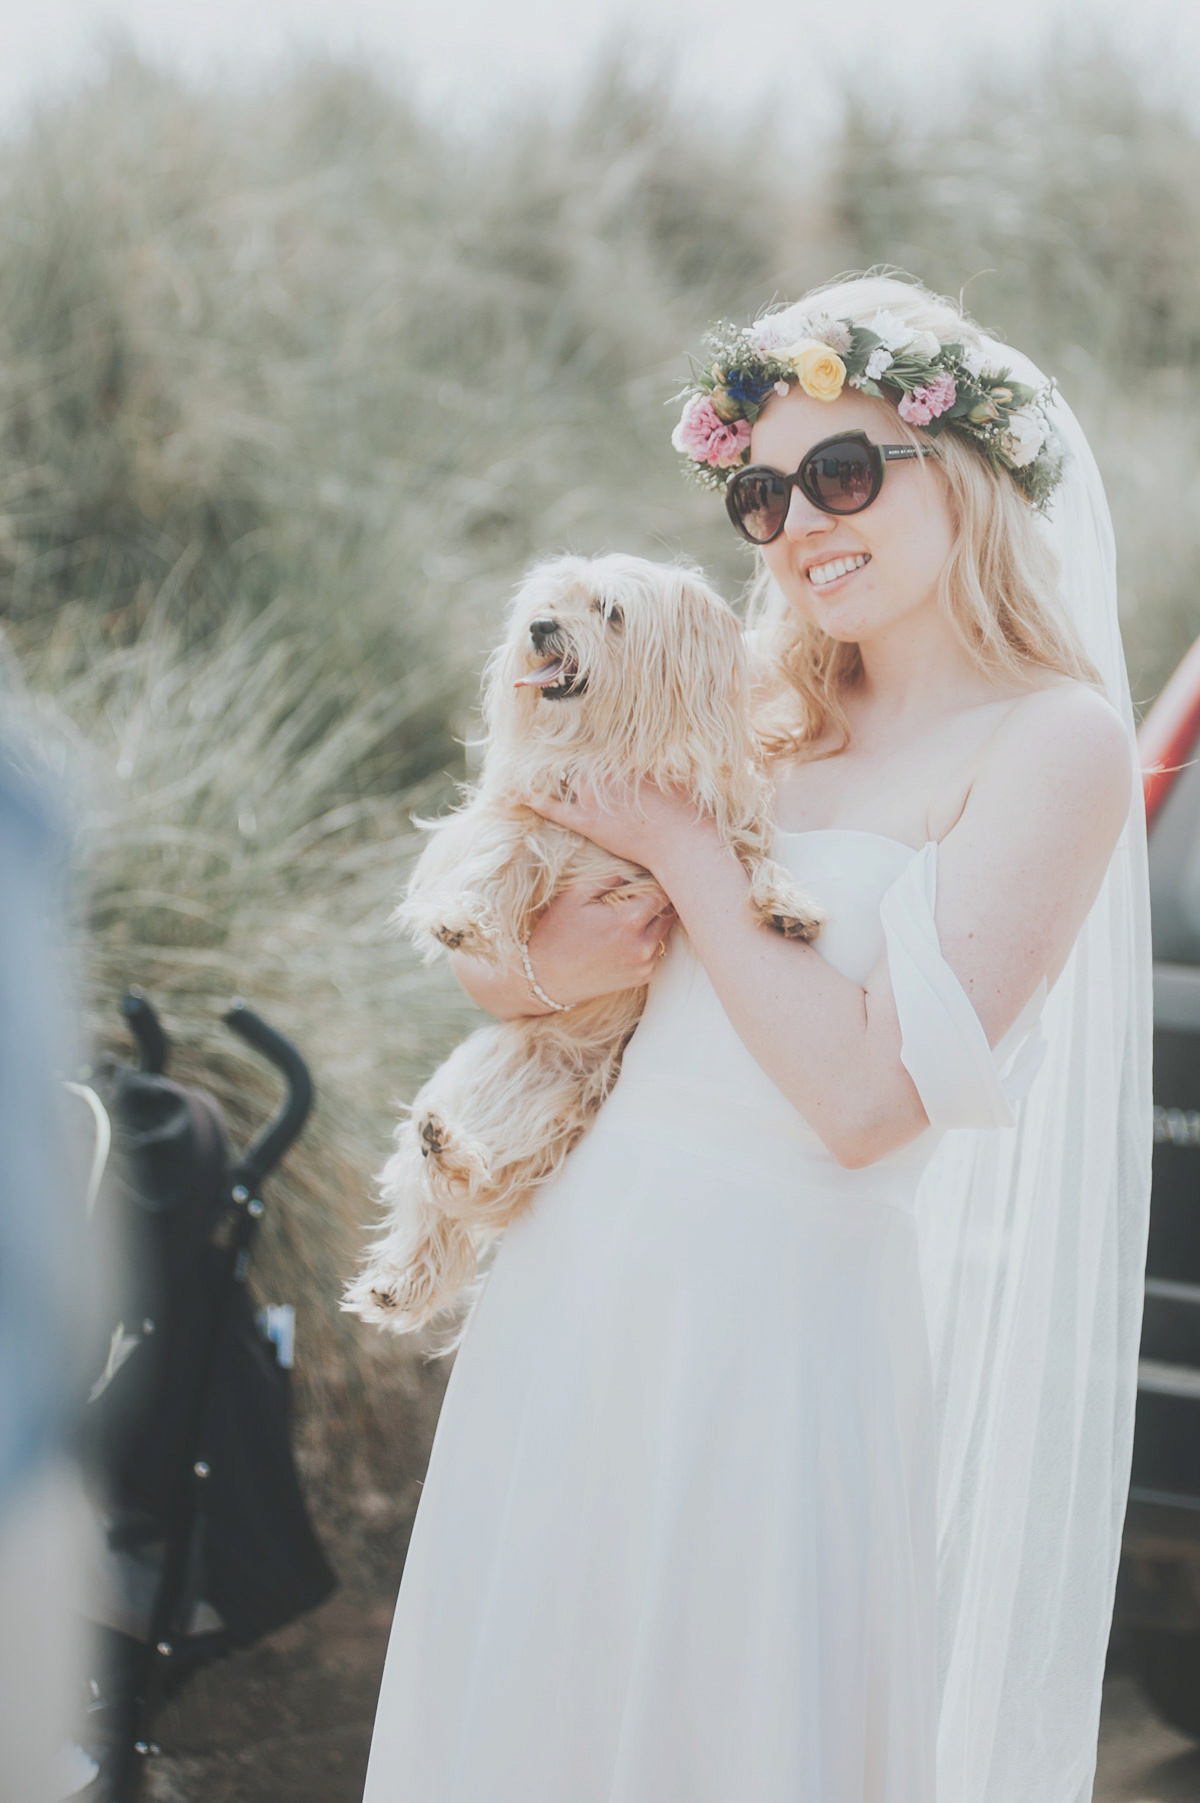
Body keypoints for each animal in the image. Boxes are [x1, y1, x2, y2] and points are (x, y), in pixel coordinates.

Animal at [340, 551, 818, 1341]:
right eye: (550, 603)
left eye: (611, 612)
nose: (539, 627)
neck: (609, 751)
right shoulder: (525, 811)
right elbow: (508, 852)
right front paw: (467, 916)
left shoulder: (723, 828)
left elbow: (754, 858)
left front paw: (790, 903)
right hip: (491, 1072)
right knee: (436, 1198)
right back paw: (412, 1241)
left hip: (547, 1109)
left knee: (489, 1177)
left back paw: (436, 1201)